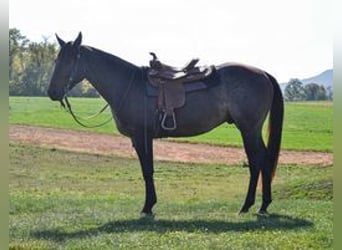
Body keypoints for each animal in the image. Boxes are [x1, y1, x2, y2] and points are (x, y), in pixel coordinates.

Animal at [47, 31, 284, 215]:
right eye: (57, 60)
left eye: (70, 61)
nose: (52, 92)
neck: (127, 85)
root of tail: (263, 73)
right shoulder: (141, 139)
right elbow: (147, 169)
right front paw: (150, 205)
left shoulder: (142, 137)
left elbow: (147, 170)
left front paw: (147, 207)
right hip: (250, 130)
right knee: (261, 161)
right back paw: (257, 205)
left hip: (249, 129)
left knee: (257, 161)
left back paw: (252, 205)